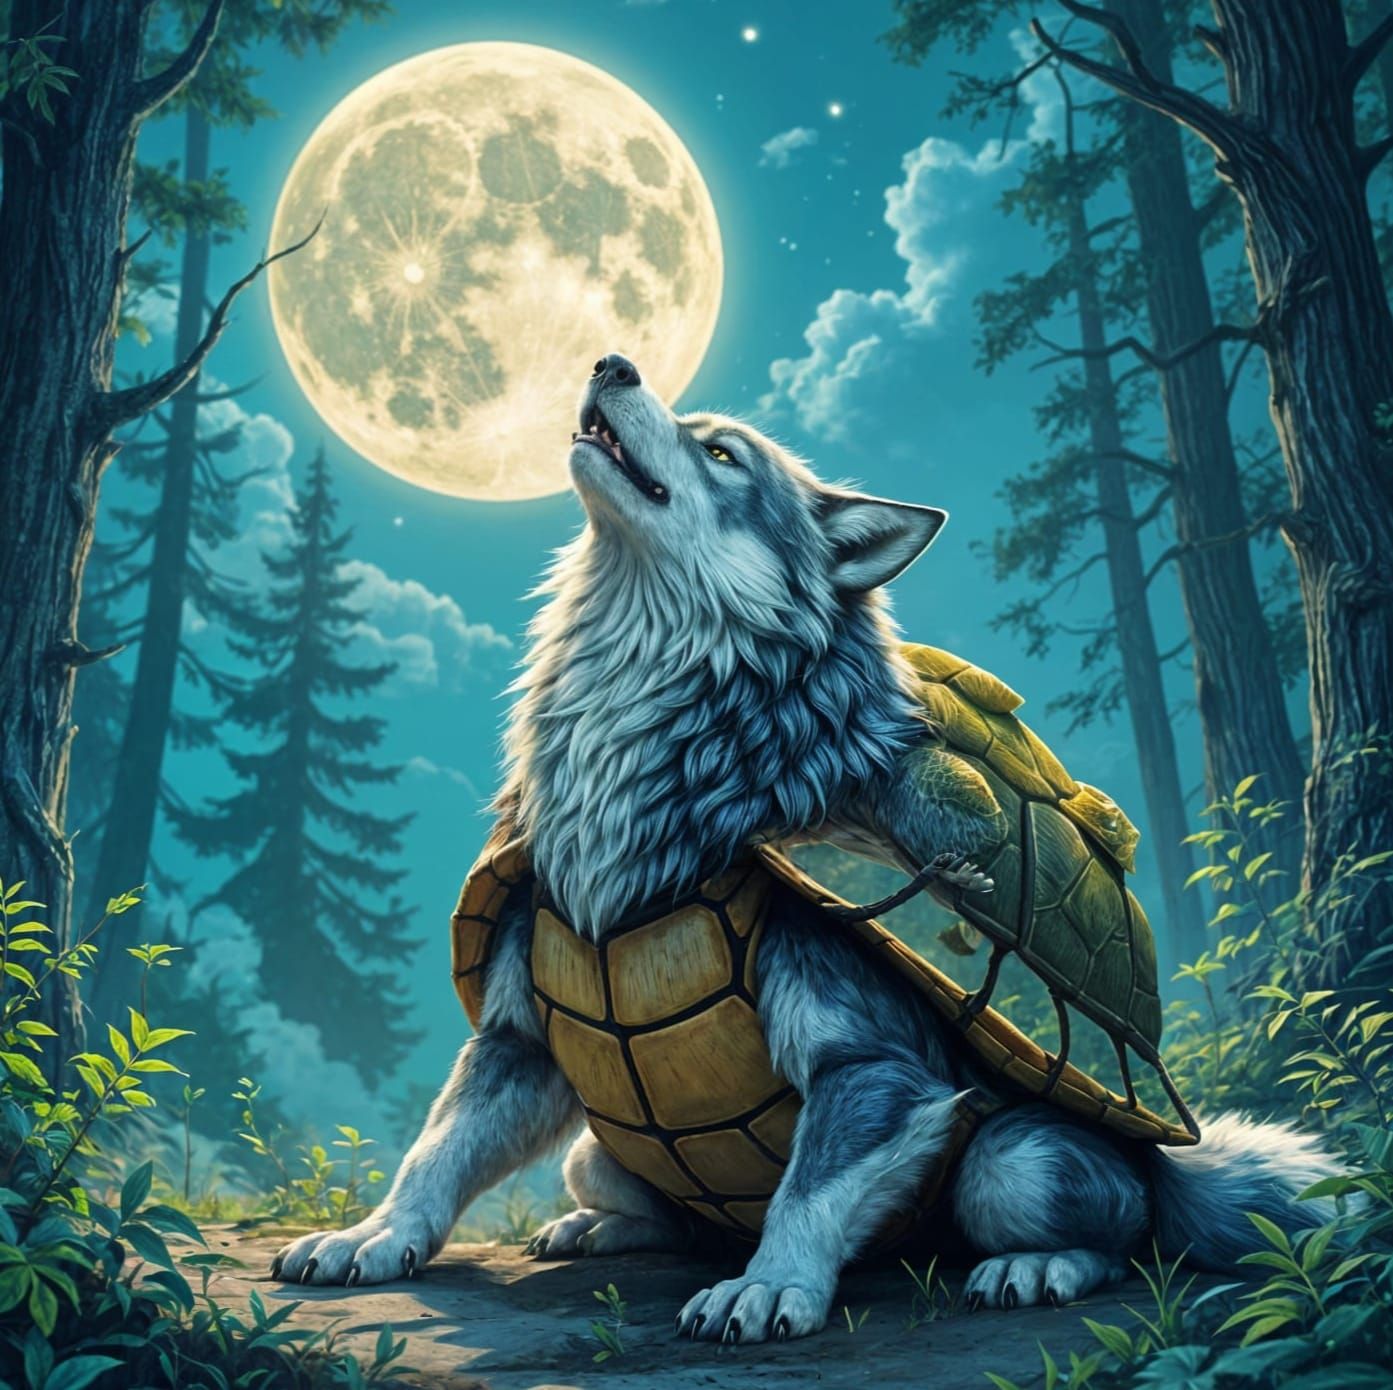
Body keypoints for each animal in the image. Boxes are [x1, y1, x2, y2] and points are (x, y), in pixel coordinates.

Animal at [272, 353, 1334, 1342]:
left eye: (721, 454)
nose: (611, 362)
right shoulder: (516, 1039)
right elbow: (434, 1151)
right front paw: (373, 1237)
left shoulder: (872, 1063)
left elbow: (807, 1194)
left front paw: (769, 1286)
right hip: (593, 1151)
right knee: (659, 1211)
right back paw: (596, 1230)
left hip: (1016, 1160)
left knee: (1123, 1228)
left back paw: (1037, 1267)